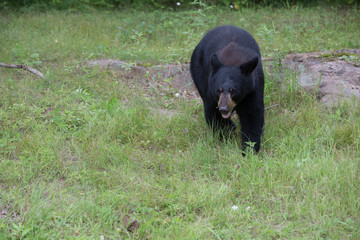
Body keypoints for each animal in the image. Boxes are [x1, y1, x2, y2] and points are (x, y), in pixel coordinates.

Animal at [191, 24, 264, 152]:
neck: (232, 61)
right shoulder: (210, 88)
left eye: (233, 91)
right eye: (218, 90)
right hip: (197, 68)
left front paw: (249, 149)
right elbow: (212, 113)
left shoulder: (253, 88)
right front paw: (228, 130)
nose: (223, 109)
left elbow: (253, 115)